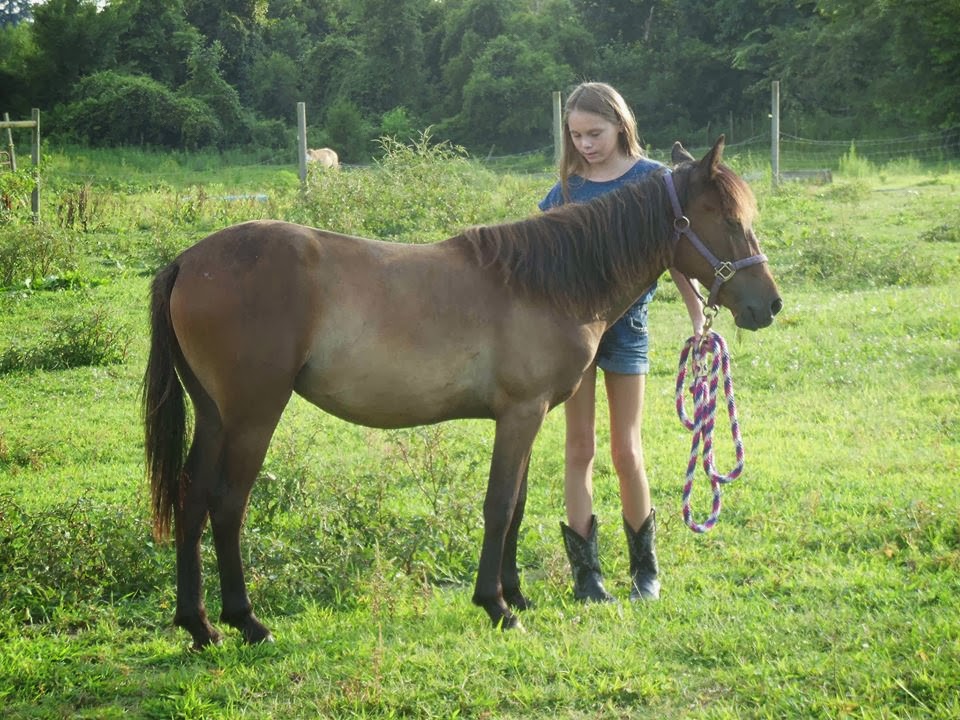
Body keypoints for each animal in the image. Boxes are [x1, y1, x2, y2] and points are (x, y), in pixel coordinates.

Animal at [142, 137, 781, 649]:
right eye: (726, 217)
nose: (769, 305)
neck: (547, 284)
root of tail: (188, 261)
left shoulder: (529, 417)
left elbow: (517, 505)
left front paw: (516, 595)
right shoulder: (518, 415)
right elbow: (498, 506)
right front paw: (496, 606)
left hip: (215, 418)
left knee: (192, 502)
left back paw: (199, 626)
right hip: (252, 417)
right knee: (227, 506)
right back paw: (247, 622)